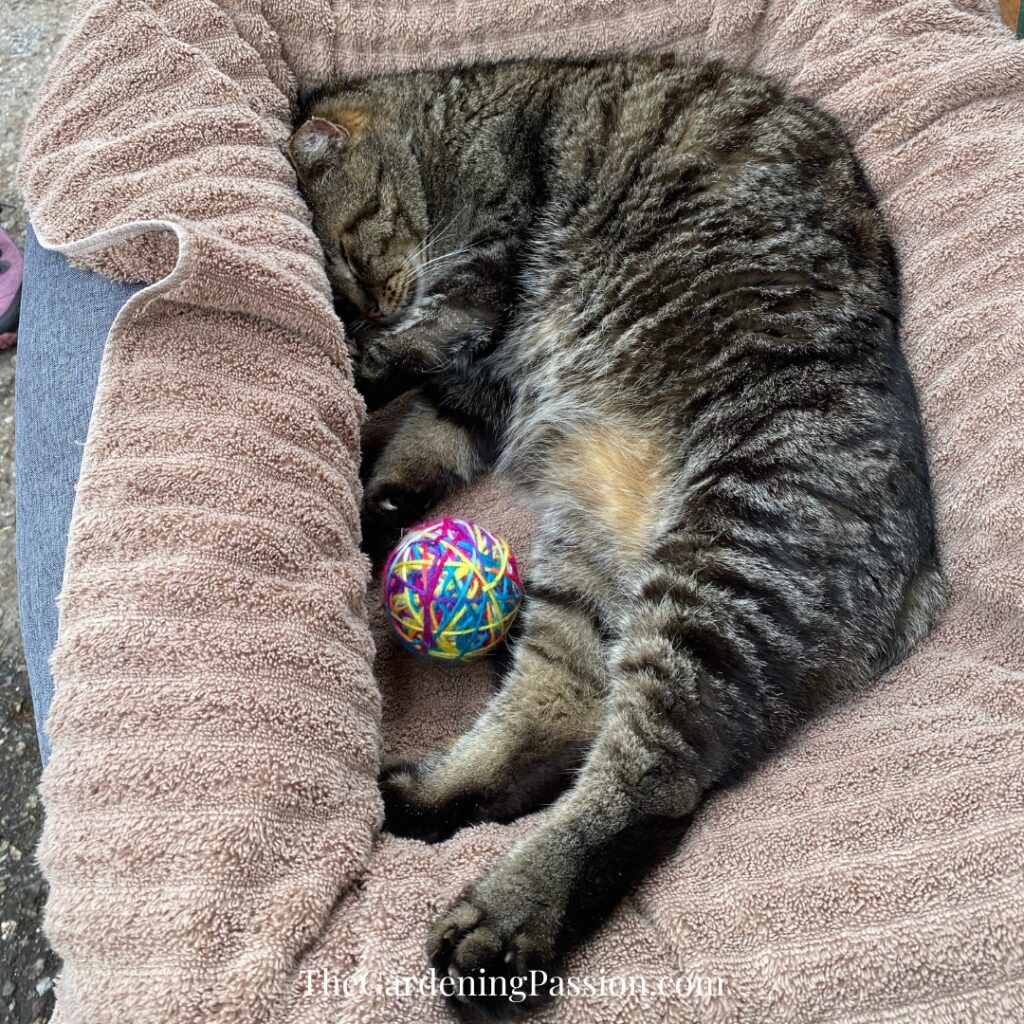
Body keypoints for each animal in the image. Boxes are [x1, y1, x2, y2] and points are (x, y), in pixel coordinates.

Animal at [288, 59, 942, 1011]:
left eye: (350, 249)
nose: (375, 305)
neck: (445, 131)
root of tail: (923, 579)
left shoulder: (476, 279)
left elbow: (414, 350)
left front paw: (359, 363)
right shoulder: (471, 390)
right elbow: (419, 449)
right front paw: (376, 509)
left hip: (720, 573)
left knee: (651, 783)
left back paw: (504, 921)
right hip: (587, 562)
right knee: (558, 717)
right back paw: (431, 796)